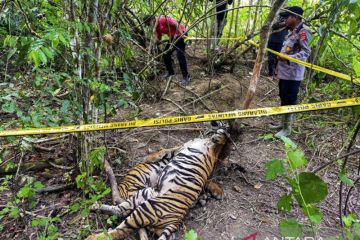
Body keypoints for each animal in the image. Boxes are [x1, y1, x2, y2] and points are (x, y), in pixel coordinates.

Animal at [87, 128, 228, 239]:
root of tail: (177, 219)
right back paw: (95, 207)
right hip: (144, 194)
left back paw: (93, 235)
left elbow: (221, 144)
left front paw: (221, 137)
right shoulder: (181, 147)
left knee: (121, 228)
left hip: (145, 209)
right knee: (120, 211)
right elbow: (165, 150)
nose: (216, 130)